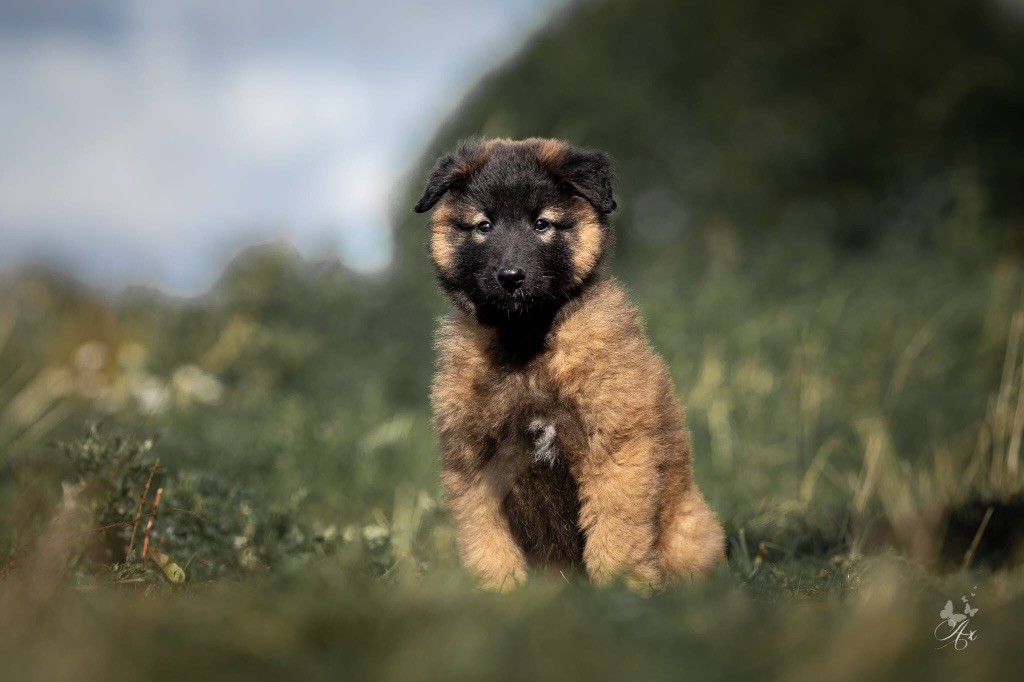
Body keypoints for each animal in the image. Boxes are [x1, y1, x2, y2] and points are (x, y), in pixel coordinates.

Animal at [411, 138, 724, 589]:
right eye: (484, 226)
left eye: (542, 224)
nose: (510, 276)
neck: (527, 345)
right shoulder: (471, 460)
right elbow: (485, 536)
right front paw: (500, 591)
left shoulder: (614, 447)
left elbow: (615, 528)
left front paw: (620, 588)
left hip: (688, 527)